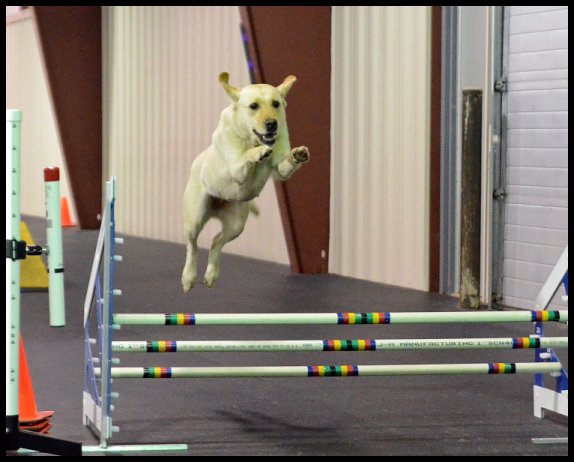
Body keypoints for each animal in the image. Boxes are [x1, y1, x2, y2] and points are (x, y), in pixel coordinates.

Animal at [183, 72, 310, 290]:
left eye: (276, 103)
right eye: (253, 106)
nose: (272, 123)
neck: (252, 138)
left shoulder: (281, 169)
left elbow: (285, 165)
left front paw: (298, 154)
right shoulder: (236, 168)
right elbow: (247, 156)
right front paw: (259, 152)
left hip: (236, 225)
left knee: (216, 241)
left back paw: (211, 274)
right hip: (195, 217)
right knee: (193, 246)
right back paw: (188, 278)